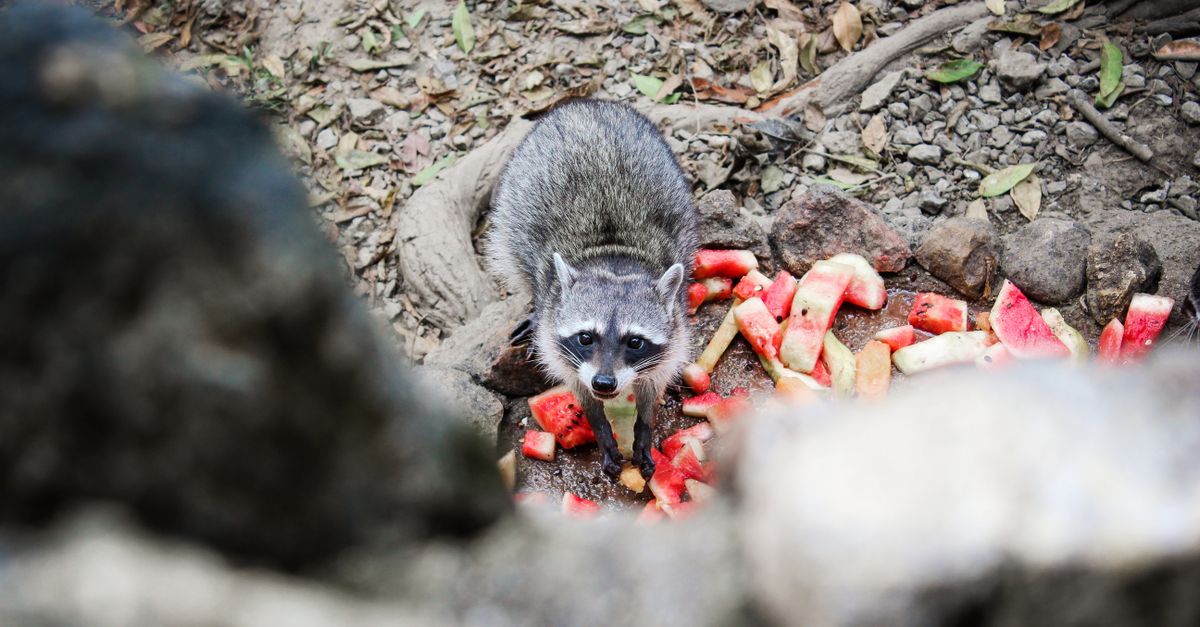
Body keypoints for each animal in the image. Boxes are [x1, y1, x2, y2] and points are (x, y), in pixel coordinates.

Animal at [486, 99, 698, 480]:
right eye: (586, 337)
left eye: (635, 342)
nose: (603, 384)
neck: (613, 258)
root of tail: (583, 103)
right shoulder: (560, 343)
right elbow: (576, 385)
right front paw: (599, 426)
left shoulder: (675, 332)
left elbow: (653, 385)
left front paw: (644, 427)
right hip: (513, 205)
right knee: (514, 257)